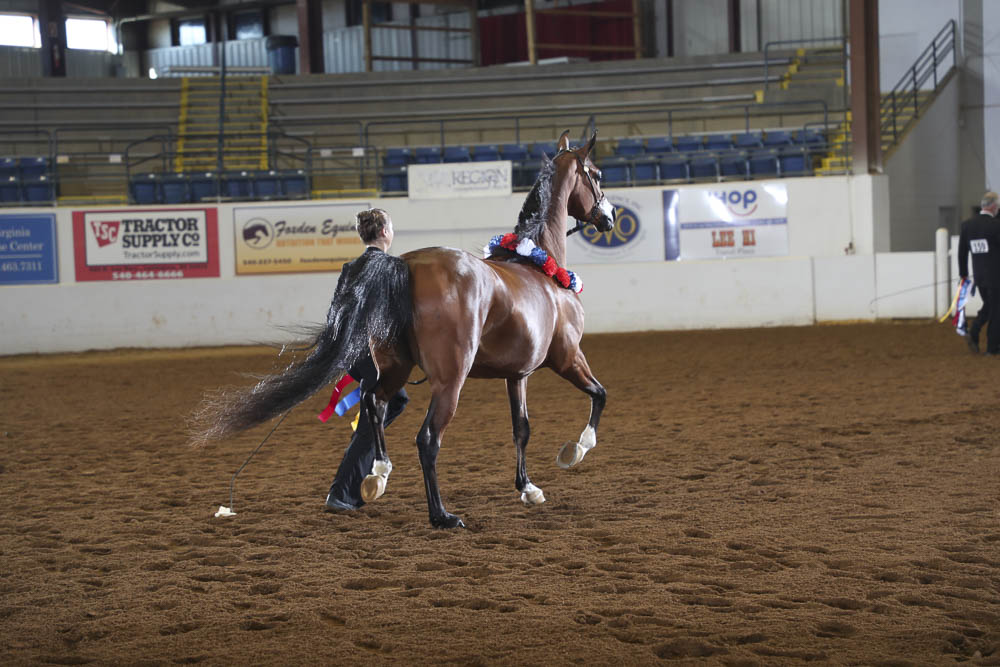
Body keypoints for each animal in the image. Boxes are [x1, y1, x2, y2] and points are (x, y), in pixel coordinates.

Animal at [194, 130, 615, 528]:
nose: (609, 217)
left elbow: (522, 428)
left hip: (394, 368)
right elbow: (599, 395)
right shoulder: (567, 357)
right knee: (426, 439)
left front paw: (528, 488)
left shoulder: (518, 374)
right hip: (450, 381)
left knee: (373, 404)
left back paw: (376, 476)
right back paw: (441, 515)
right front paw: (574, 450)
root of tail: (405, 265)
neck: (539, 265)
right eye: (596, 174)